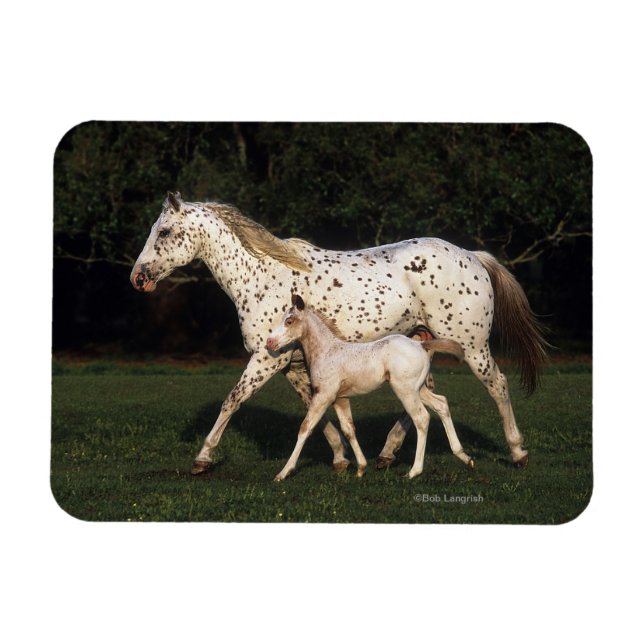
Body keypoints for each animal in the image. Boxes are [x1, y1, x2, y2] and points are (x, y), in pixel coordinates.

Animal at [266, 294, 471, 480]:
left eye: (289, 320)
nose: (269, 342)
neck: (327, 352)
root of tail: (421, 344)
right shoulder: (340, 398)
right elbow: (349, 430)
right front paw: (361, 468)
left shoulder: (324, 395)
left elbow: (305, 428)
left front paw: (283, 473)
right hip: (418, 389)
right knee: (441, 404)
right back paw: (464, 456)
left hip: (405, 390)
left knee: (421, 418)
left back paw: (414, 471)